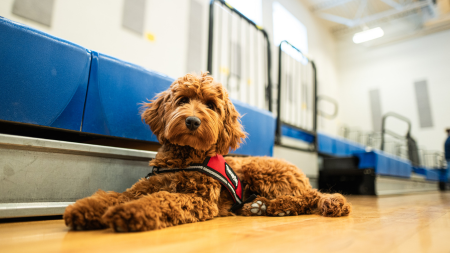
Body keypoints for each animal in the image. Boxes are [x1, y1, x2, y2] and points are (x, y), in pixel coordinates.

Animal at [63, 72, 352, 231]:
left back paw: (276, 207)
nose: (192, 121)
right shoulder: (143, 187)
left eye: (211, 105)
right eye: (182, 100)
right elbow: (115, 195)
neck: (184, 159)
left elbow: (161, 200)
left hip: (264, 173)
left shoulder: (199, 199)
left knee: (309, 197)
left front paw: (129, 214)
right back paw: (256, 207)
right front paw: (86, 209)